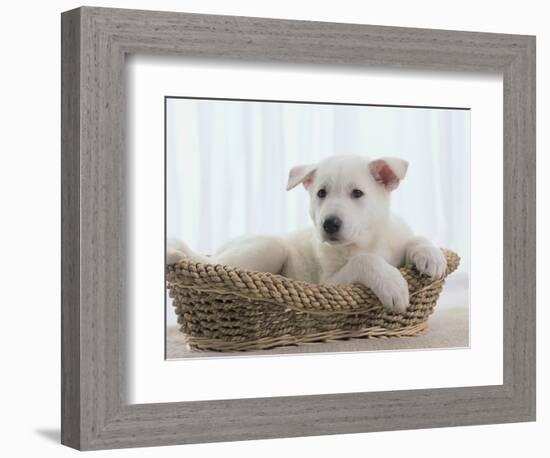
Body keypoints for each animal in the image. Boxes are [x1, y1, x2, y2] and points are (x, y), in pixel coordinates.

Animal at [168, 156, 448, 314]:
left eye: (357, 193)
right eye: (321, 193)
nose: (330, 224)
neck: (367, 240)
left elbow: (414, 239)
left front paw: (431, 256)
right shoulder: (330, 283)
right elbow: (365, 260)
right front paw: (392, 284)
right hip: (268, 247)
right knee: (213, 263)